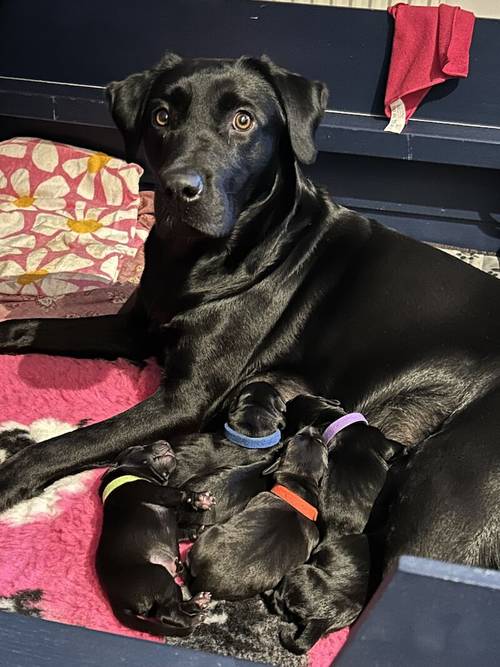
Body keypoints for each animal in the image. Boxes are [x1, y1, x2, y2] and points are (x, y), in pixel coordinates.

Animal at [0, 53, 500, 576]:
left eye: (243, 120)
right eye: (161, 116)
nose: (179, 189)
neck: (197, 259)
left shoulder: (184, 400)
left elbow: (74, 441)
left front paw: (9, 476)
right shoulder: (131, 330)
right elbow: (30, 326)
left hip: (446, 499)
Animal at [96, 440, 215, 640]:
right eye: (138, 447)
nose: (165, 441)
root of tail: (117, 603)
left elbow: (182, 530)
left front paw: (198, 529)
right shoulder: (156, 492)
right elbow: (179, 493)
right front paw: (200, 498)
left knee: (173, 605)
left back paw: (197, 602)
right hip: (158, 575)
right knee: (166, 614)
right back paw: (195, 618)